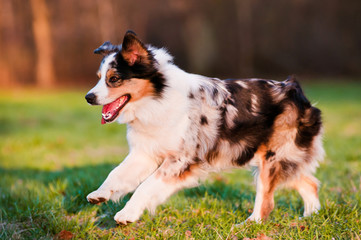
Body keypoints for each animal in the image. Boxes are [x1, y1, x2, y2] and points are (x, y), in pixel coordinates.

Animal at [85, 31, 324, 224]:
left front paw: (128, 214)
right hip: (283, 158)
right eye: (98, 78)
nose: (88, 97)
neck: (157, 99)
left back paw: (248, 225)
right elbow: (117, 173)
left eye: (114, 79)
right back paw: (310, 217)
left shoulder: (180, 160)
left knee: (266, 202)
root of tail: (295, 89)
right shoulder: (145, 152)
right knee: (309, 183)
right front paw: (100, 193)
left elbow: (145, 186)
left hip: (273, 158)